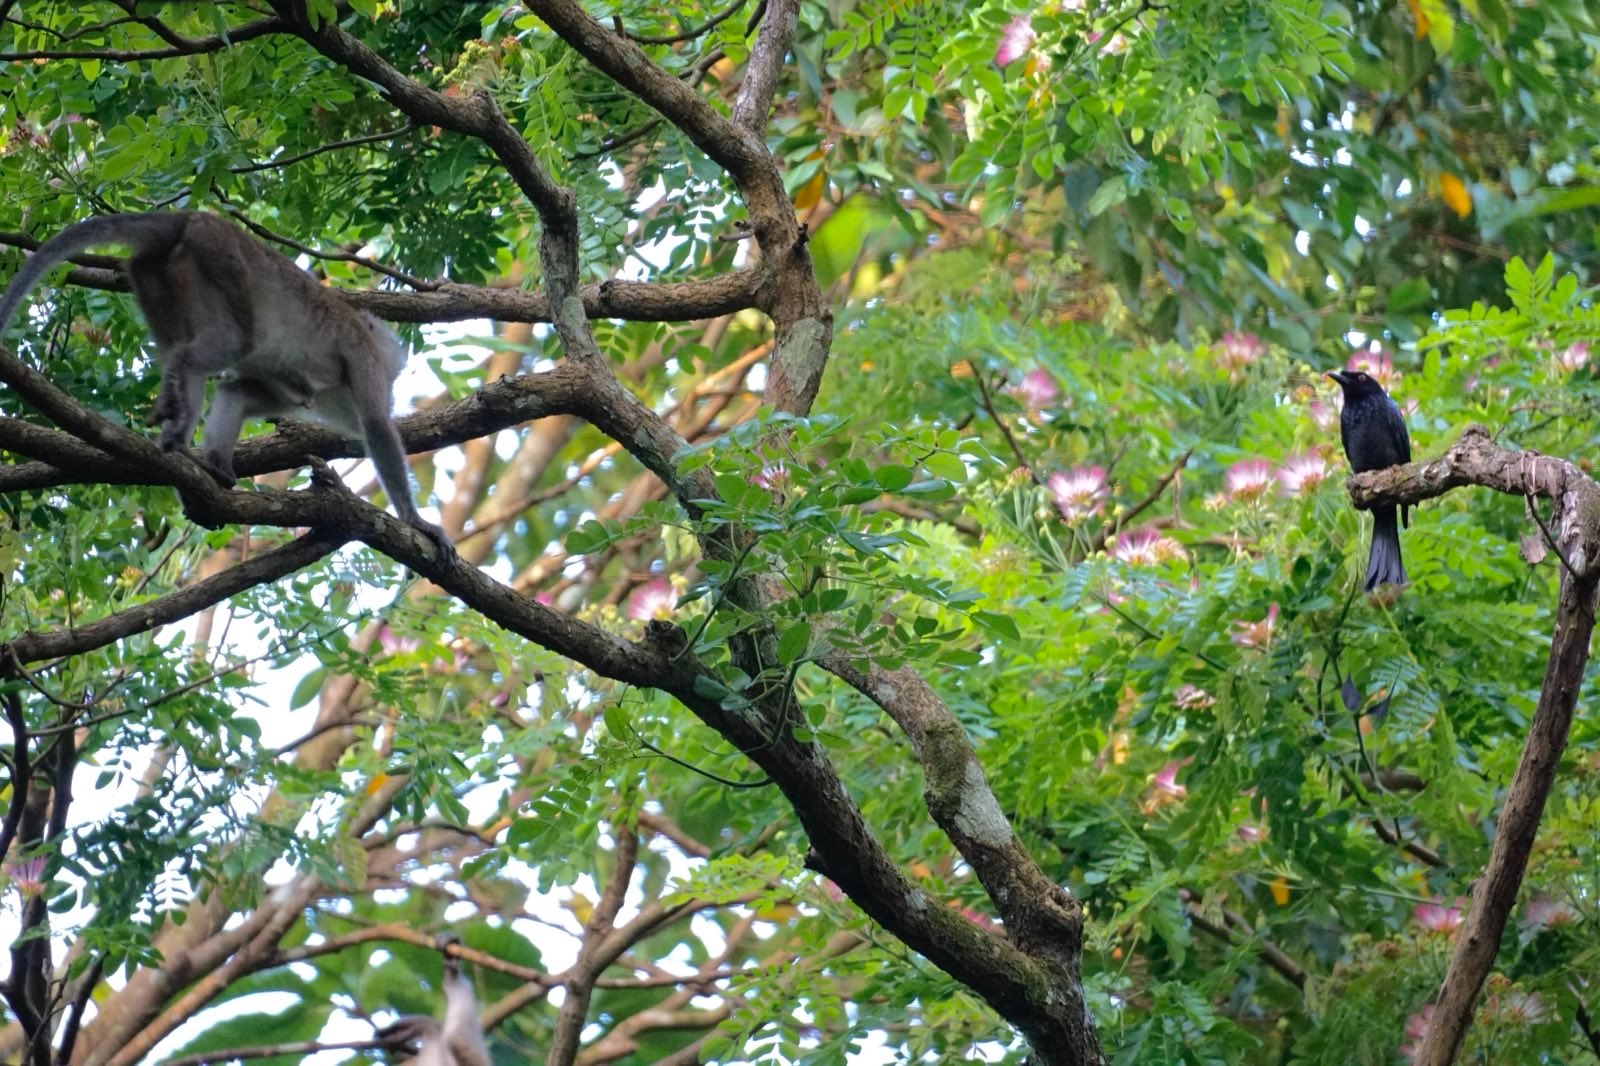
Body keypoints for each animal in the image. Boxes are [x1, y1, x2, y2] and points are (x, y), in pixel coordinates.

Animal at [0, 211, 454, 559]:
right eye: (389, 362)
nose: (396, 375)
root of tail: (185, 218)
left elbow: (240, 393)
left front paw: (217, 460)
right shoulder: (362, 356)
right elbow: (376, 426)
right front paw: (417, 523)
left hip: (157, 277)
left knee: (188, 350)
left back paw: (193, 458)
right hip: (218, 259)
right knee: (232, 341)